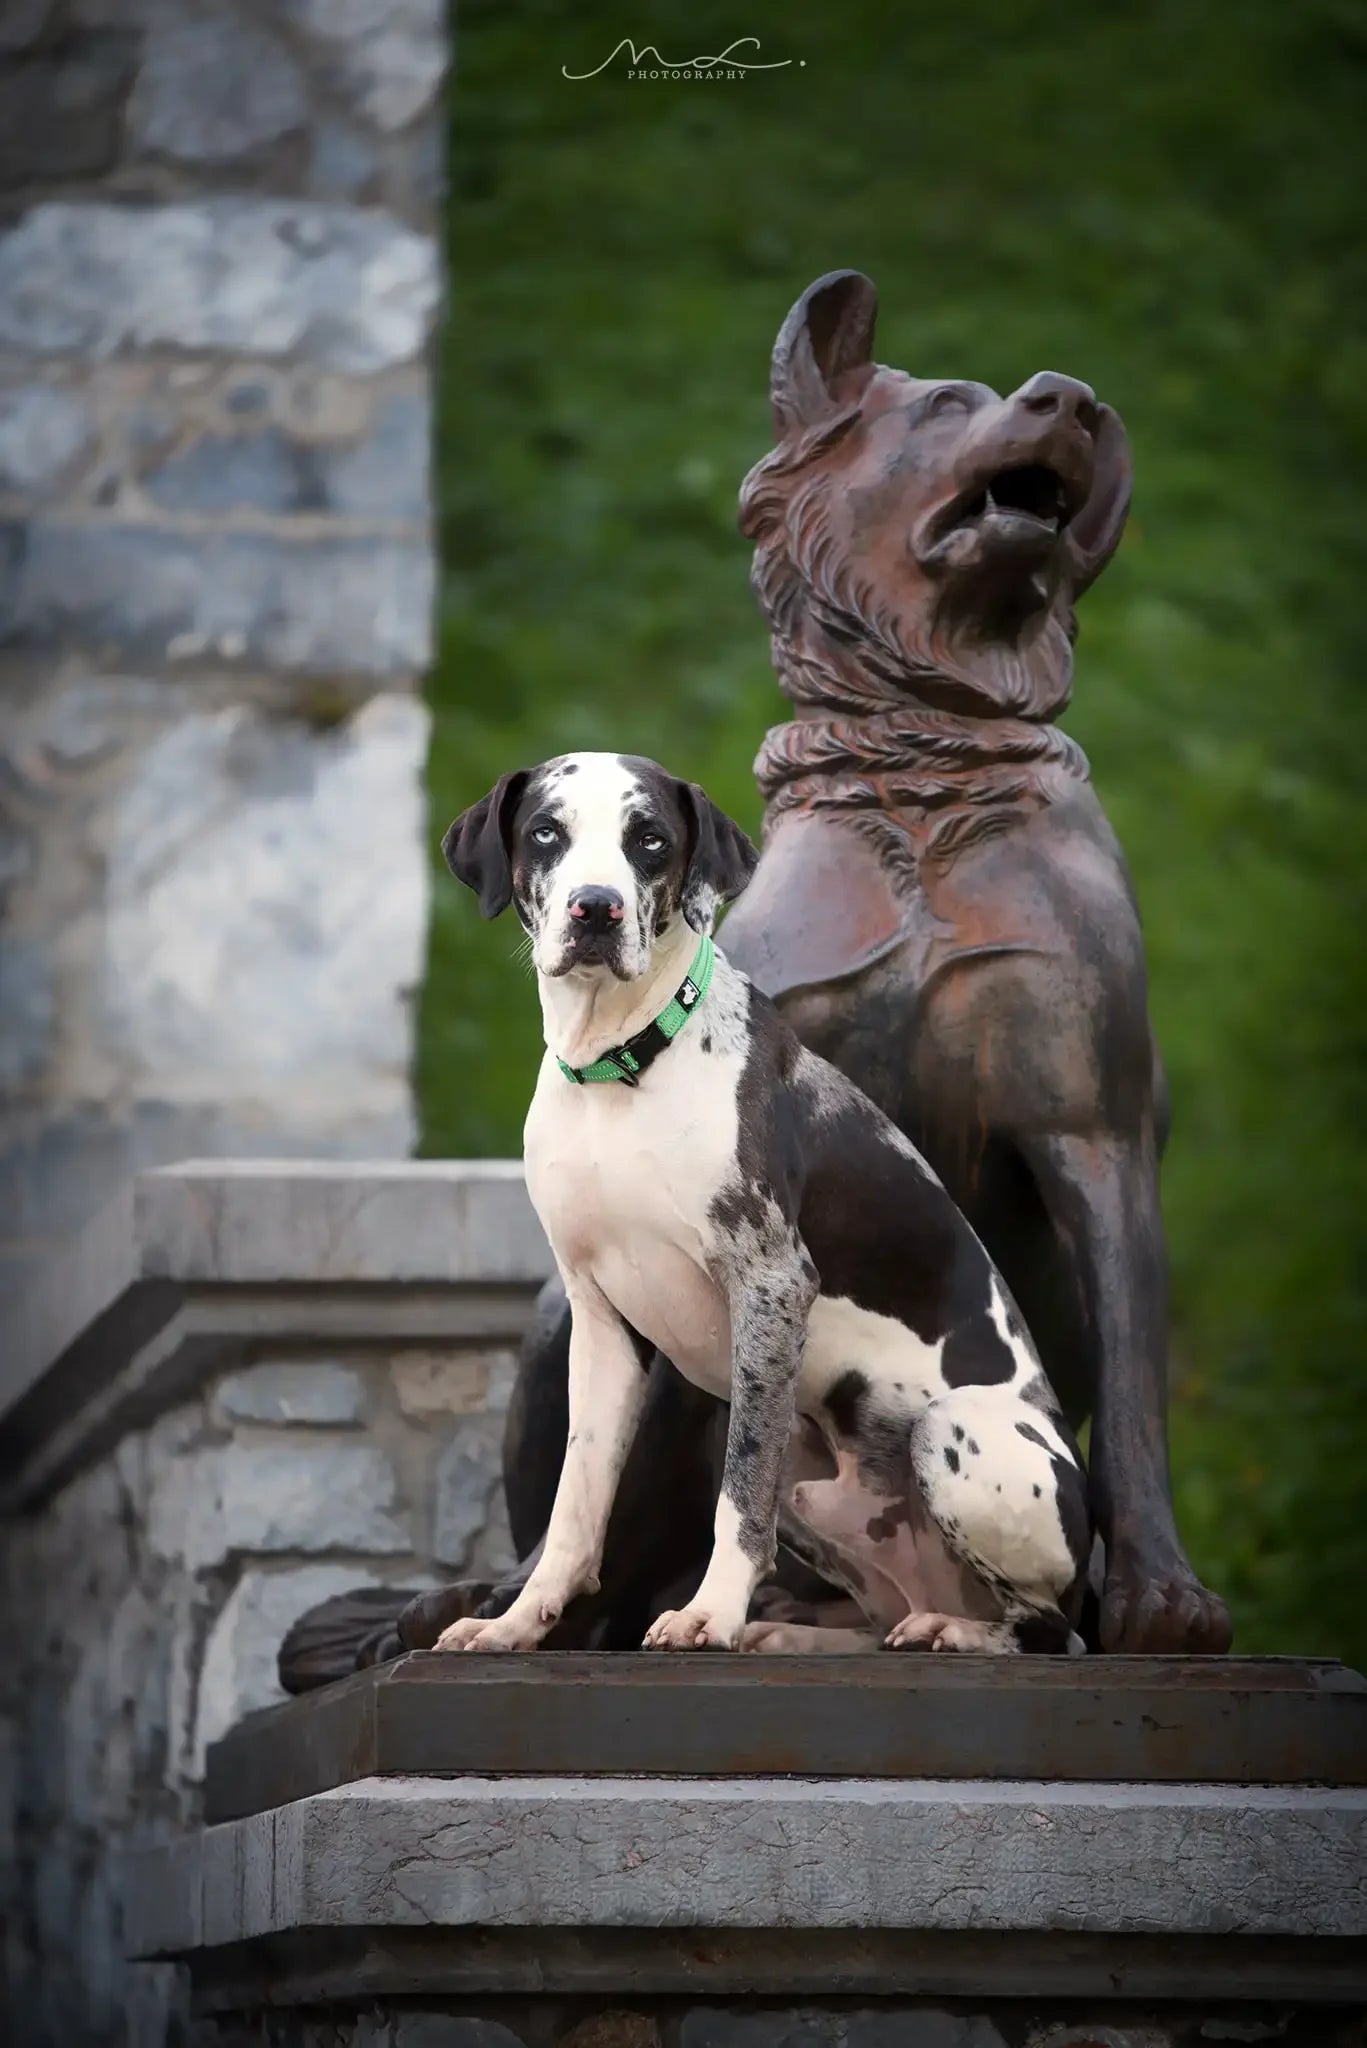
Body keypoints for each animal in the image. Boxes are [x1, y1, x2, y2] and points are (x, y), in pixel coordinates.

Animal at [438, 753, 1090, 1646]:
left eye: (649, 838)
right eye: (545, 831)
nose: (595, 909)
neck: (621, 1069)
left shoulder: (771, 1285)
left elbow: (738, 1497)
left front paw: (708, 1613)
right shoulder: (600, 1320)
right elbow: (576, 1508)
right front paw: (515, 1627)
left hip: (957, 1432)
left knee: (1049, 1629)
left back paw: (952, 1632)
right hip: (812, 1482)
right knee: (883, 1617)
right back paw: (798, 1633)